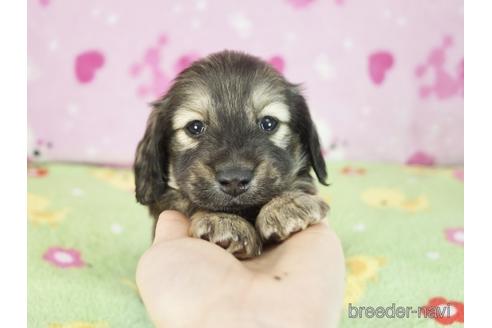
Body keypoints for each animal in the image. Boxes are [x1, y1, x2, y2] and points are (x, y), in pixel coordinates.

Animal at [133, 50, 328, 258]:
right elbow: (189, 201)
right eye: (195, 127)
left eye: (269, 123)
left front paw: (285, 204)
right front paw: (223, 220)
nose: (234, 180)